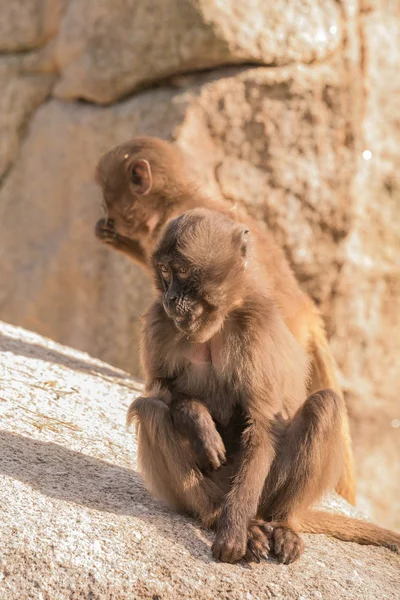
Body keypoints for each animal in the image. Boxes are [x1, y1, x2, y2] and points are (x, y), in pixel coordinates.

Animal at [128, 209, 400, 564]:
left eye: (183, 271)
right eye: (164, 271)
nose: (170, 297)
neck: (215, 325)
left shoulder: (255, 330)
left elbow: (261, 425)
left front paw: (233, 532)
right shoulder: (159, 320)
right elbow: (158, 389)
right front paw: (196, 418)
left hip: (263, 493)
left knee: (325, 405)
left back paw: (278, 524)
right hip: (209, 487)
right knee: (150, 410)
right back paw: (216, 515)